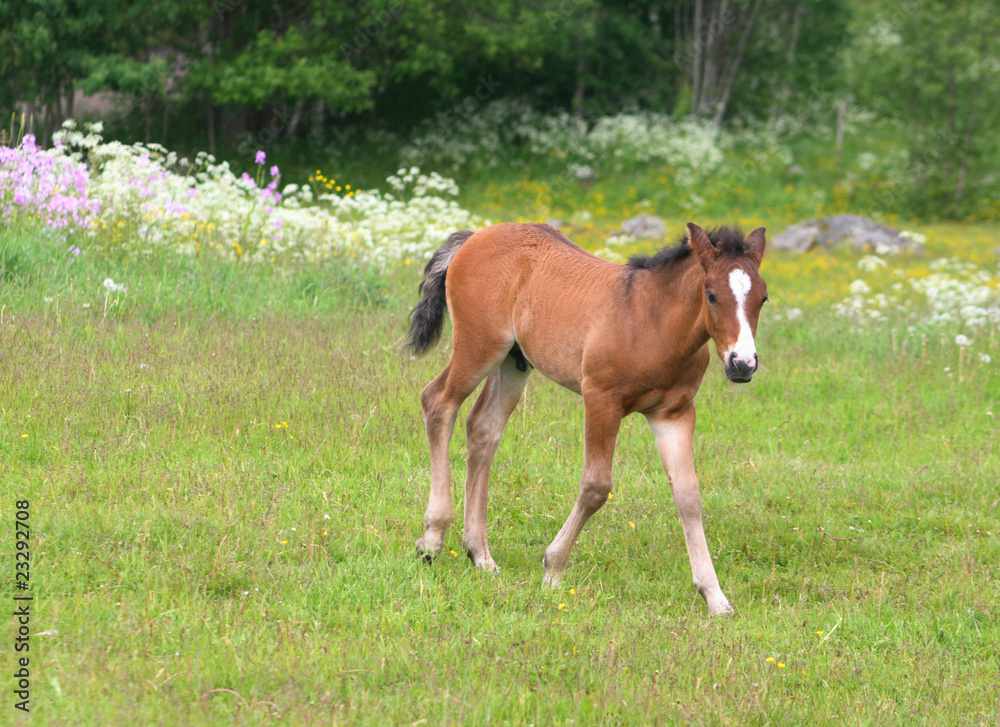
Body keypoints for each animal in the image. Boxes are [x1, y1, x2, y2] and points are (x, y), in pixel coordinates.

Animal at [405, 221, 767, 615]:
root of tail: (474, 236)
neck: (654, 322)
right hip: (479, 346)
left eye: (763, 298)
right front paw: (552, 569)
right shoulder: (600, 399)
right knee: (438, 402)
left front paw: (714, 596)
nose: (742, 364)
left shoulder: (674, 414)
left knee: (483, 429)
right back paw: (432, 539)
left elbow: (688, 495)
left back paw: (480, 554)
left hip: (514, 361)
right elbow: (596, 486)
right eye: (711, 294)